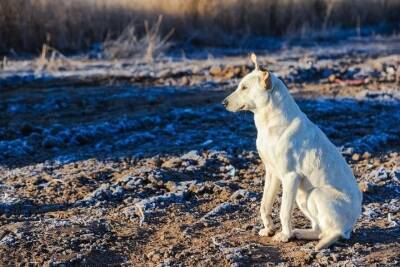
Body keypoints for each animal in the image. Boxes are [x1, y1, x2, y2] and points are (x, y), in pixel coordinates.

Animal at [222, 54, 362, 251]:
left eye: (244, 87)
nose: (223, 103)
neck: (269, 122)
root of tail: (351, 224)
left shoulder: (290, 176)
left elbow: (284, 211)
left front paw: (284, 236)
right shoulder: (272, 173)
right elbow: (264, 205)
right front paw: (269, 229)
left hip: (315, 193)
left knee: (333, 232)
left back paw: (313, 242)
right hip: (303, 196)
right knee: (320, 230)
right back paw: (301, 233)